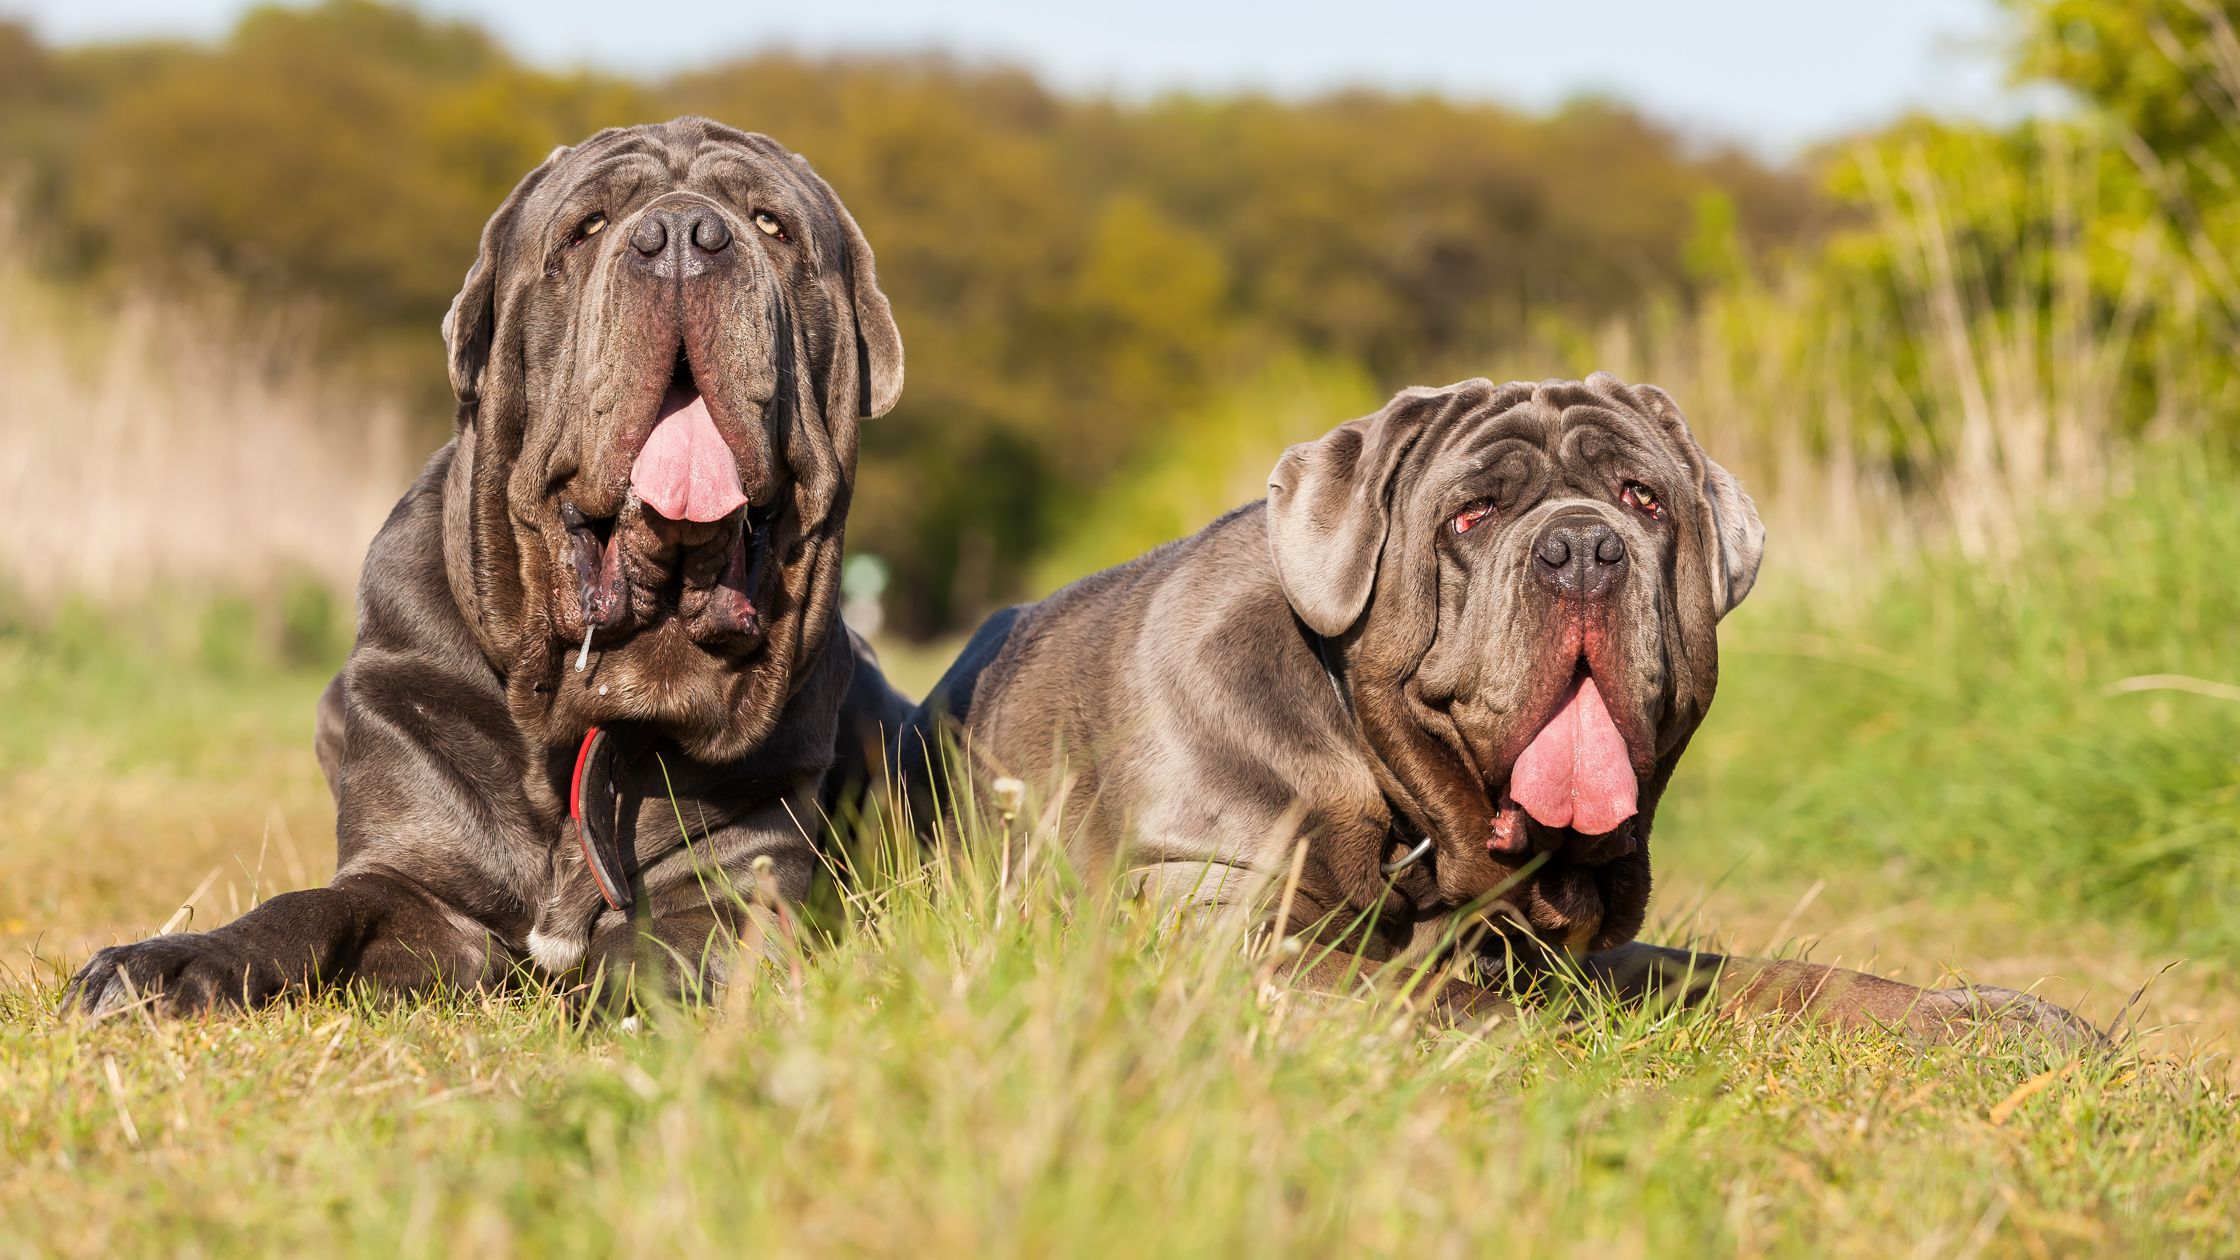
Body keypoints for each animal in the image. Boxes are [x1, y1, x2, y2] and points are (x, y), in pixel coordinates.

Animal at [74, 117, 904, 1013]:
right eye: (586, 228)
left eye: (771, 225)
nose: (685, 235)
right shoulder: (413, 882)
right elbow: (307, 910)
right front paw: (168, 961)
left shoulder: (735, 893)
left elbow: (655, 952)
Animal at [900, 374, 2087, 1040]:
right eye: (1469, 517)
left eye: (1642, 500)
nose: (1581, 548)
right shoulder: (1218, 926)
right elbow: (1447, 996)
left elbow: (1750, 974)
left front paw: (1990, 1015)